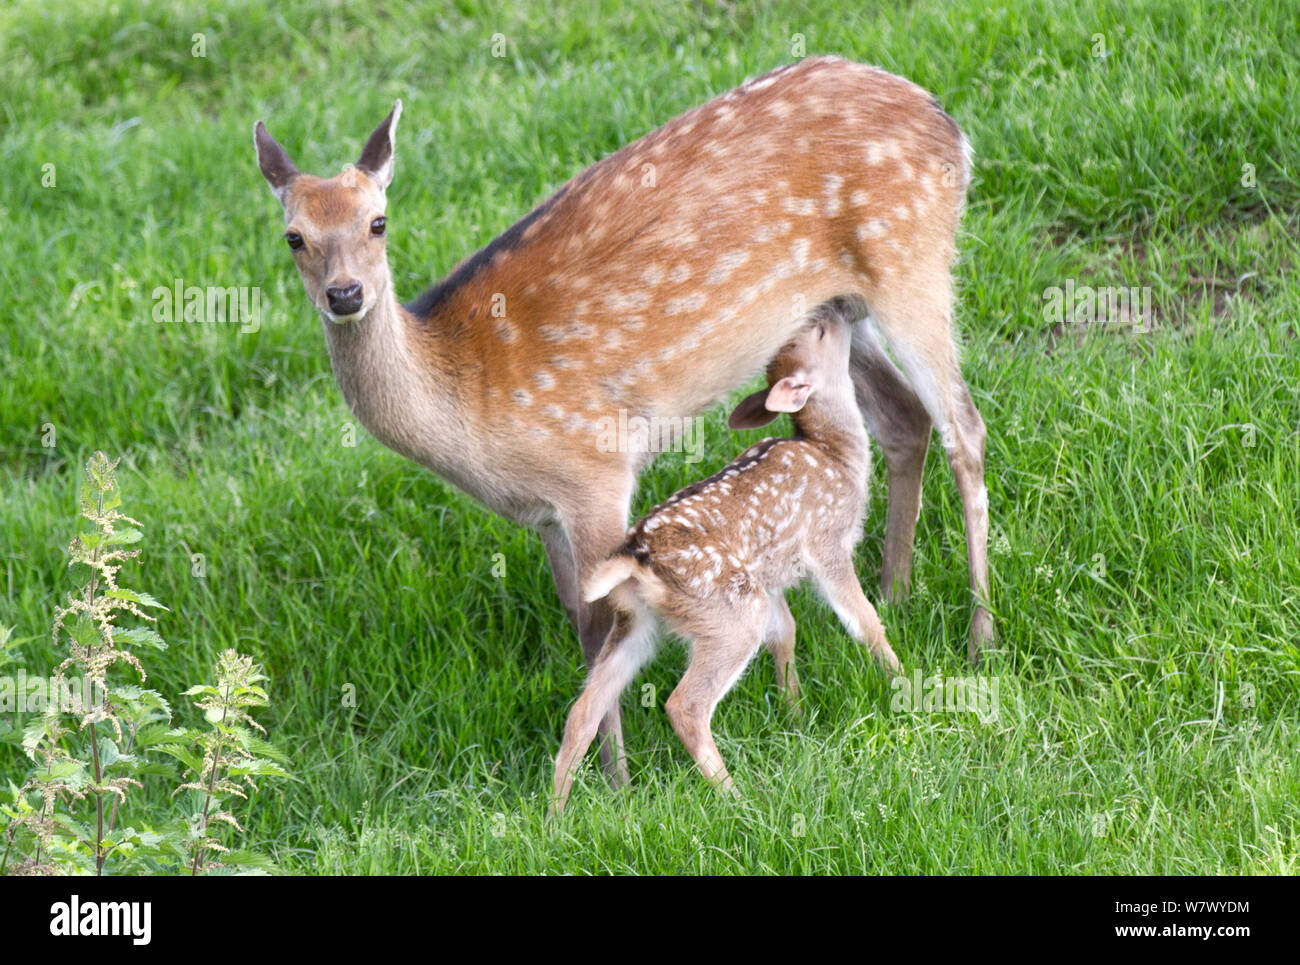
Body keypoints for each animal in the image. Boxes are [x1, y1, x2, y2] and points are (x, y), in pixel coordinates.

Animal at [551, 308, 902, 813]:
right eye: (819, 333)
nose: (836, 310)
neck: (835, 453)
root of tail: (637, 555)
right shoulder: (827, 542)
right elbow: (864, 619)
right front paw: (903, 679)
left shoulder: (770, 578)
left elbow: (786, 631)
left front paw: (795, 715)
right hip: (728, 611)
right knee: (685, 705)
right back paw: (736, 797)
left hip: (639, 620)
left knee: (583, 709)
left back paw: (555, 814)